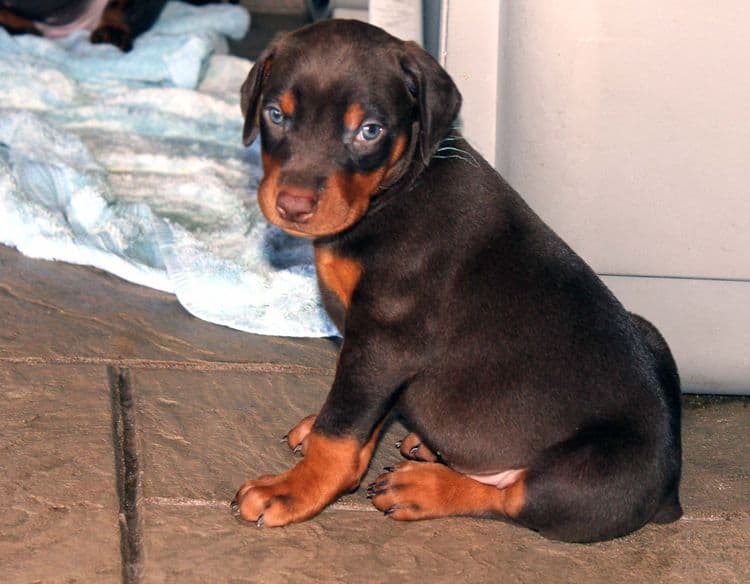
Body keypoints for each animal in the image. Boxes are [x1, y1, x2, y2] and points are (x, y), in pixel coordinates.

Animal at [232, 20, 684, 544]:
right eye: (275, 114)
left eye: (370, 131)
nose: (293, 205)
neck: (399, 191)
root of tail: (670, 490)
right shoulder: (381, 354)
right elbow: (366, 418)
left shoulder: (385, 340)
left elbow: (341, 431)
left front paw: (295, 490)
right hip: (649, 330)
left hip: (586, 478)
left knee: (511, 498)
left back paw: (422, 487)